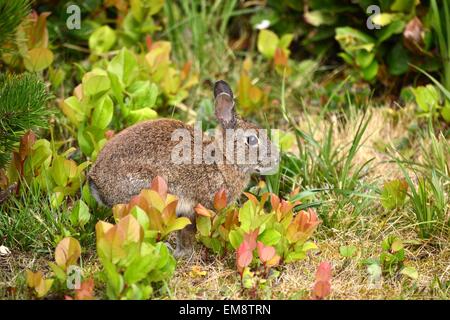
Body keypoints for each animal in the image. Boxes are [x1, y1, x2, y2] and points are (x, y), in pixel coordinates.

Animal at [86, 80, 280, 258]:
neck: (223, 160)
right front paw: (182, 254)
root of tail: (95, 182)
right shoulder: (195, 207)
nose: (277, 159)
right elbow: (187, 232)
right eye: (252, 140)